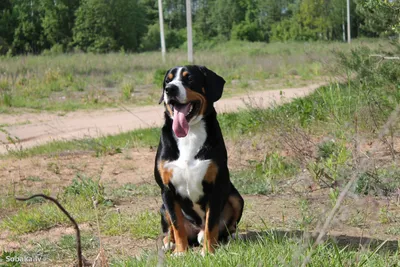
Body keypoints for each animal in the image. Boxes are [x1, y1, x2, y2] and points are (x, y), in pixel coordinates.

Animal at [155, 65, 245, 255]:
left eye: (189, 78)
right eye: (168, 80)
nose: (170, 89)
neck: (190, 133)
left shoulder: (217, 187)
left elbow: (211, 224)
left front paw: (208, 252)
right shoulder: (167, 190)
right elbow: (177, 225)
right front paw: (181, 252)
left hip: (236, 197)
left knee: (227, 227)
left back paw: (231, 237)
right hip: (162, 206)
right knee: (169, 229)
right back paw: (168, 242)